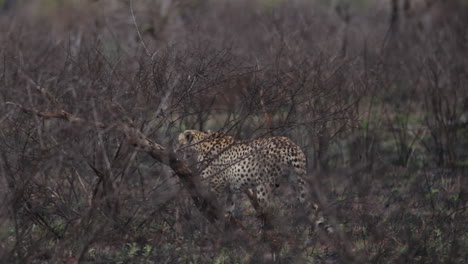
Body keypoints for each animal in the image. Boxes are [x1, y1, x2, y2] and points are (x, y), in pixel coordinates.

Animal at [177, 130, 312, 214]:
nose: (176, 149)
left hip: (263, 186)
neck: (198, 147)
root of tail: (291, 144)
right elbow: (229, 208)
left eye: (179, 141)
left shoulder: (217, 184)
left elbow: (215, 205)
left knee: (268, 210)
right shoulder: (230, 188)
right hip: (295, 182)